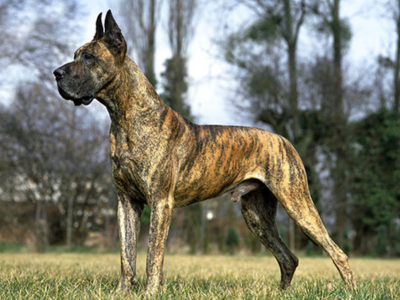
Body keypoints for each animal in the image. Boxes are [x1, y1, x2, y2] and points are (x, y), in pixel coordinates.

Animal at [53, 10, 356, 294]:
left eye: (89, 57)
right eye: (75, 55)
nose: (56, 73)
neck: (124, 117)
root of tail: (284, 140)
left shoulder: (160, 202)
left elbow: (153, 255)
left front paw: (151, 292)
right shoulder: (126, 202)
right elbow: (126, 256)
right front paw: (122, 292)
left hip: (297, 203)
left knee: (337, 252)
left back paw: (350, 290)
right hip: (257, 215)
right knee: (288, 257)